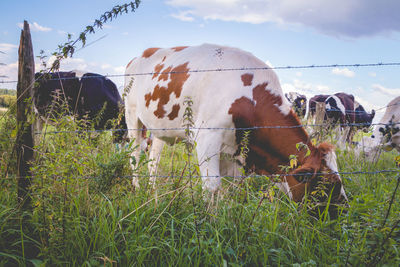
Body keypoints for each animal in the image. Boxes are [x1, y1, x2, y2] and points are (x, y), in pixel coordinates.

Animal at [125, 44, 346, 204]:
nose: (343, 210)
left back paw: (153, 191)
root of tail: (140, 55)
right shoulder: (206, 137)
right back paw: (137, 188)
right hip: (132, 115)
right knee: (135, 153)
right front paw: (208, 221)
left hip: (160, 127)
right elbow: (212, 187)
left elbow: (230, 188)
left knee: (153, 159)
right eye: (327, 185)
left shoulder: (233, 153)